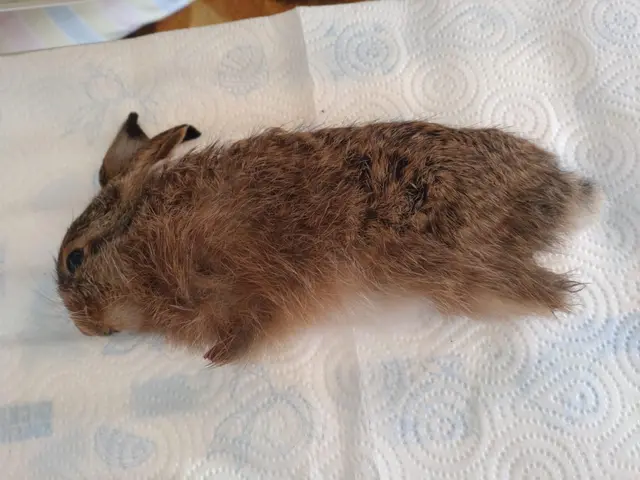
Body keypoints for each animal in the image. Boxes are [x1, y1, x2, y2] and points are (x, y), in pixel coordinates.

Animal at [56, 112, 600, 365]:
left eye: (74, 260)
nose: (85, 329)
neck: (140, 239)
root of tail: (567, 190)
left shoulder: (251, 281)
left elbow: (252, 323)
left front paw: (219, 357)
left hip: (457, 267)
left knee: (553, 293)